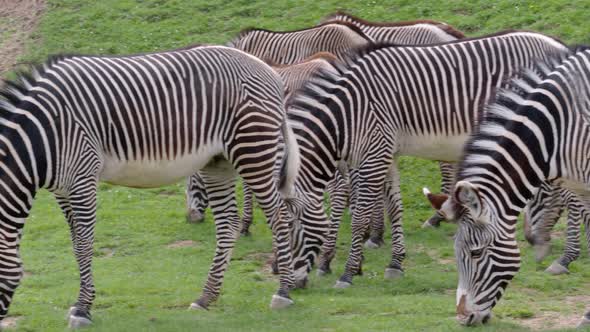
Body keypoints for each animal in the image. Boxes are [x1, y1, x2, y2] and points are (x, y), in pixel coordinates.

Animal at [0, 45, 308, 328]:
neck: (42, 133)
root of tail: (268, 69)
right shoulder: (62, 188)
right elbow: (76, 244)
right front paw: (80, 304)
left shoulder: (82, 177)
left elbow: (85, 244)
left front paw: (82, 309)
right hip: (217, 163)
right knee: (228, 224)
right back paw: (205, 298)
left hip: (254, 150)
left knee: (280, 216)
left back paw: (283, 292)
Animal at [280, 31, 572, 288]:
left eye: (292, 224)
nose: (289, 282)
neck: (349, 110)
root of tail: (559, 44)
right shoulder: (387, 153)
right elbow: (394, 207)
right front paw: (395, 263)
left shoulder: (375, 154)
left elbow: (360, 215)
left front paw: (348, 272)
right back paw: (543, 237)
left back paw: (562, 255)